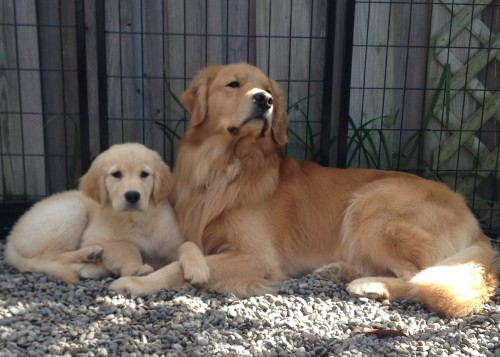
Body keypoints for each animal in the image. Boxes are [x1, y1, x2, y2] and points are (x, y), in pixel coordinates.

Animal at [3, 143, 208, 286]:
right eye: (116, 174)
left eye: (144, 174)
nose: (132, 195)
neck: (137, 219)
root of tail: (11, 235)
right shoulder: (96, 237)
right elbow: (126, 246)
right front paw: (135, 268)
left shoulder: (172, 242)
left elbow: (188, 245)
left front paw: (198, 269)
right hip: (72, 210)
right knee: (50, 257)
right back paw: (90, 255)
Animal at [111, 63, 498, 314]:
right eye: (233, 84)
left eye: (268, 88)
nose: (264, 100)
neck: (226, 167)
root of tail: (473, 220)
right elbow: (180, 252)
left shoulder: (258, 258)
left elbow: (179, 266)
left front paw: (135, 284)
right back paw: (341, 270)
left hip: (372, 206)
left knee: (416, 277)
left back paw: (371, 285)